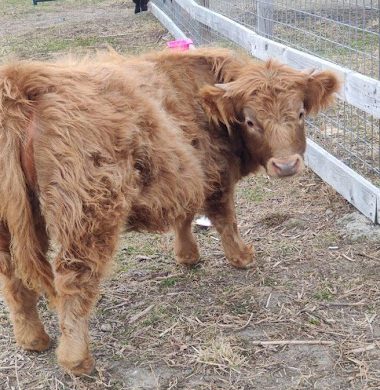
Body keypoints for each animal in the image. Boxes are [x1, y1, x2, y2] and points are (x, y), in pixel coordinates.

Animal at [0, 48, 338, 374]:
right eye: (251, 121)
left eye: (300, 113)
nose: (286, 165)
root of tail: (26, 83)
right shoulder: (217, 176)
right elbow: (226, 219)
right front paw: (242, 257)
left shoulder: (187, 175)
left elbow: (184, 215)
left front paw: (187, 255)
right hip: (88, 216)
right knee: (73, 281)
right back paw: (78, 362)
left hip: (9, 226)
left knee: (12, 277)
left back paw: (33, 340)